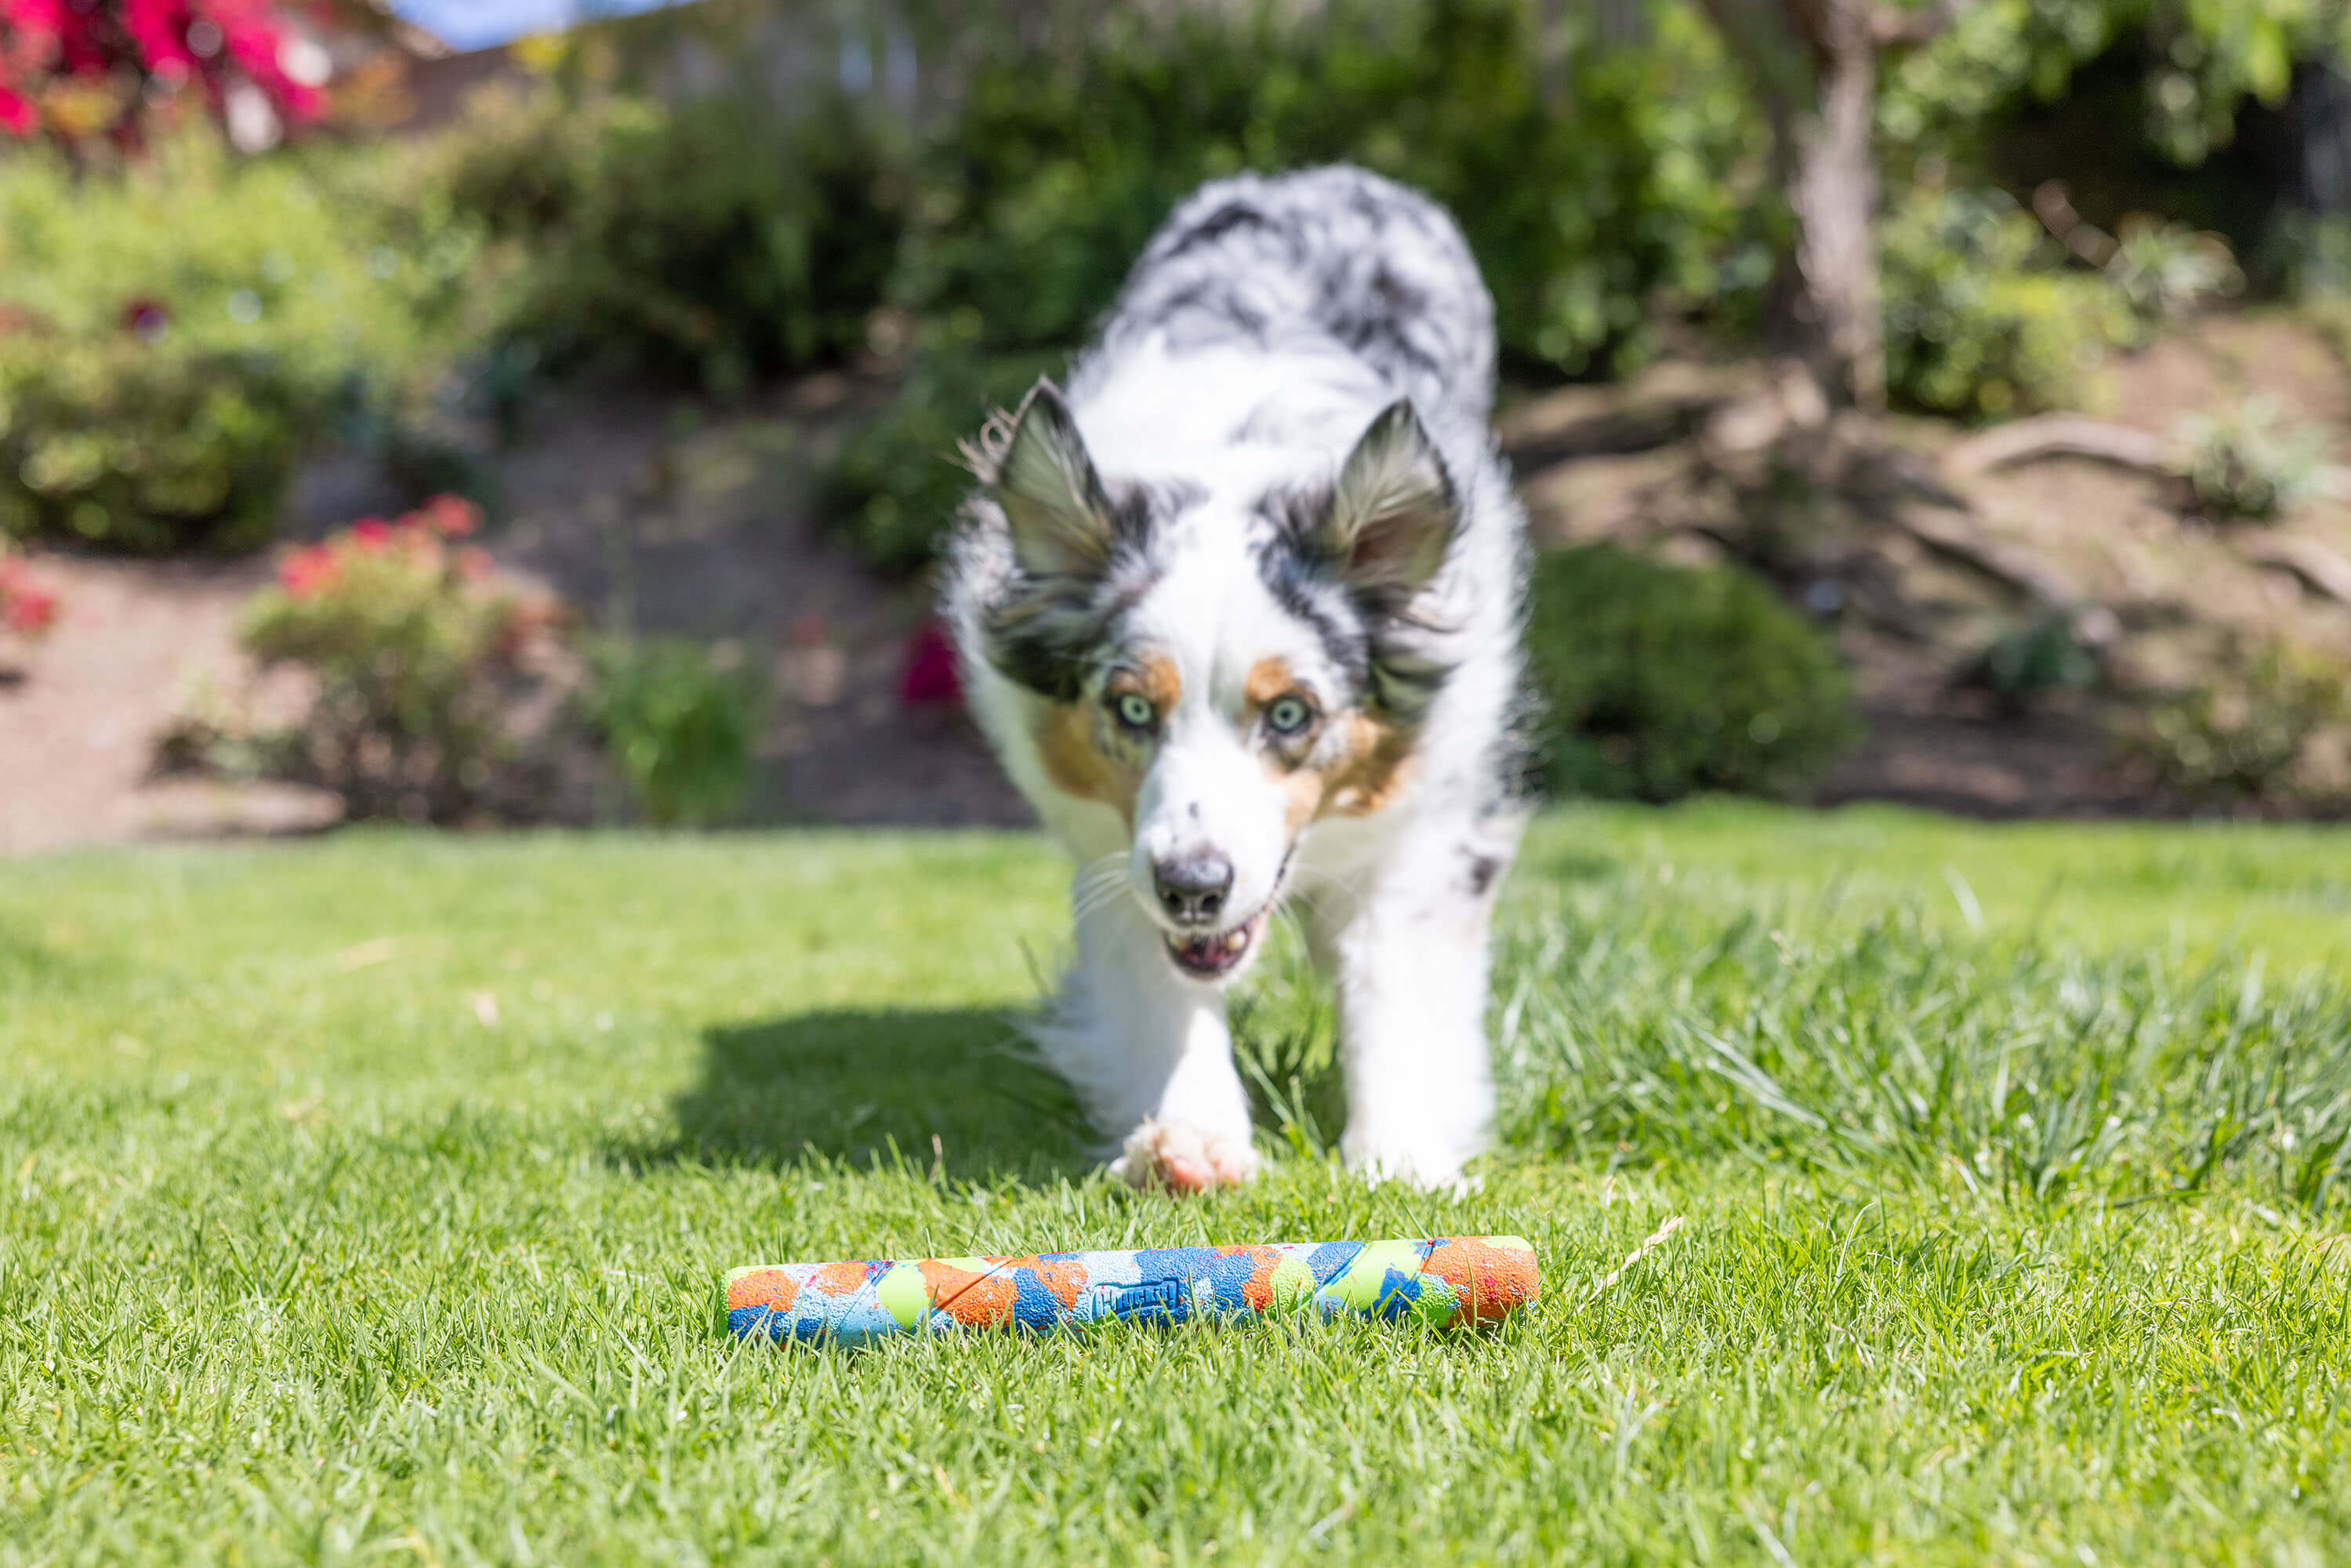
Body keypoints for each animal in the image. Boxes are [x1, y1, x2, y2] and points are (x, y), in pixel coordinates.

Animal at [945, 165, 1533, 1189]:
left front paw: (1398, 1153)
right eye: (1130, 706)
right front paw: (1190, 1135)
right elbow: (1157, 984)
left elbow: (1394, 979)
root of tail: (1319, 174)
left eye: (1290, 713)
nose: (1194, 885)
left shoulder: (1429, 824)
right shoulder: (1116, 843)